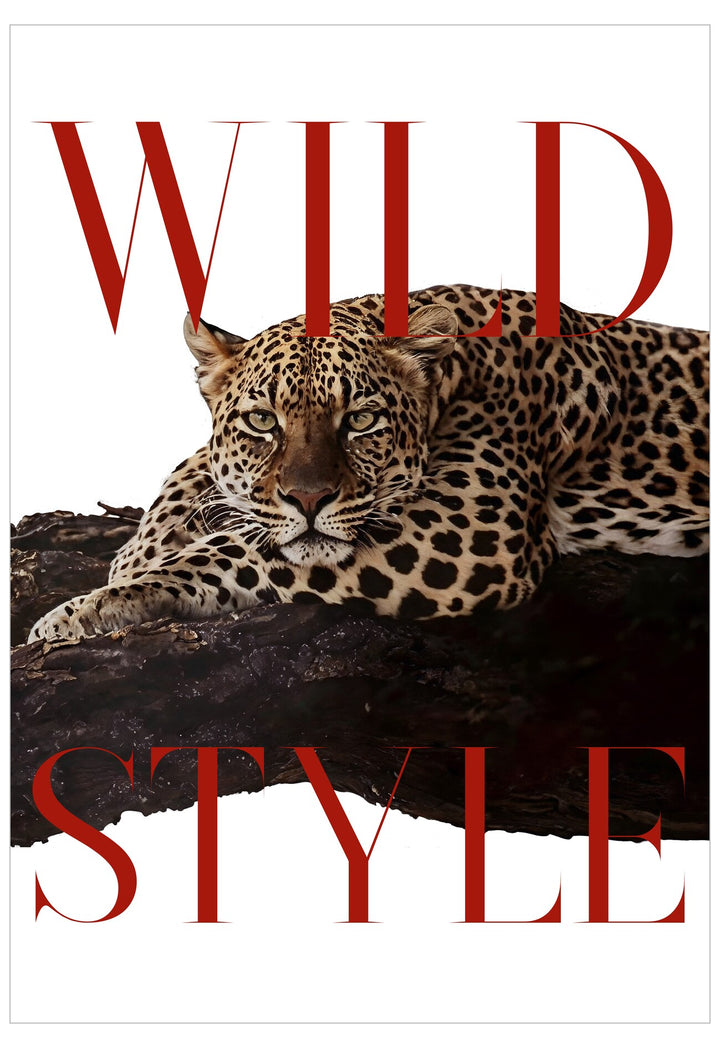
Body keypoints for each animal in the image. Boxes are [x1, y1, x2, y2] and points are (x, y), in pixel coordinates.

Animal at [28, 284, 709, 642]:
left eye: (359, 420)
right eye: (263, 421)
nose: (307, 499)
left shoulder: (470, 530)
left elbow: (238, 552)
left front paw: (89, 609)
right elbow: (197, 470)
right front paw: (138, 550)